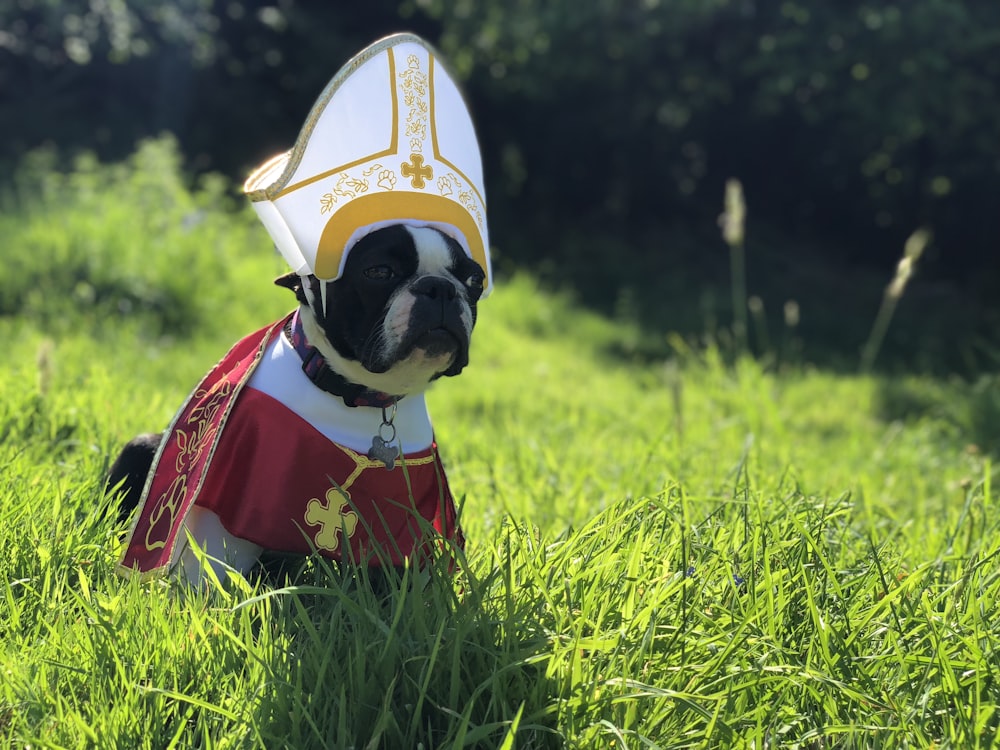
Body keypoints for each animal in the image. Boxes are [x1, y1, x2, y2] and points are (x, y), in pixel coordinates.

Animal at [107, 225, 486, 588]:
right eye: (379, 271)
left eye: (474, 280)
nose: (441, 287)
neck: (358, 397)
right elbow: (211, 568)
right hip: (142, 446)